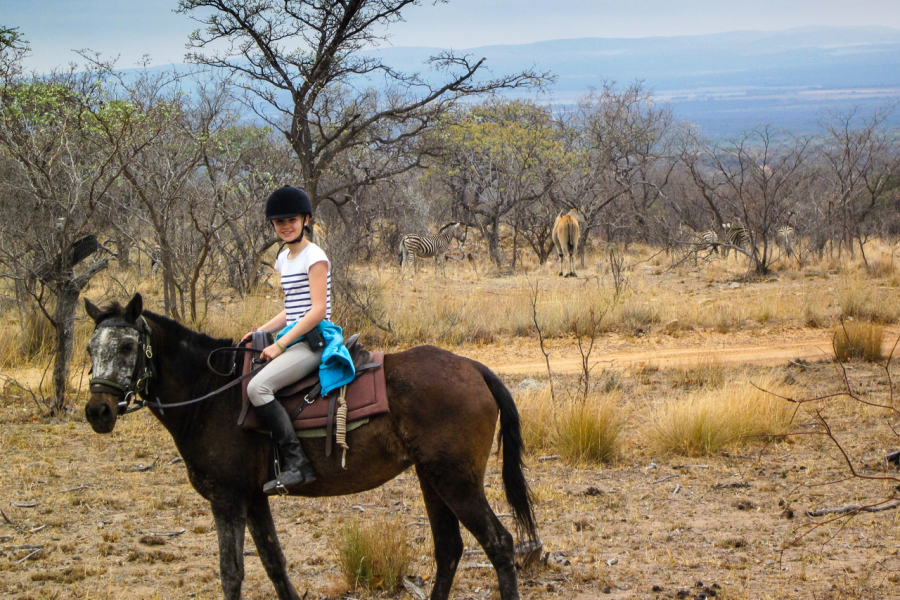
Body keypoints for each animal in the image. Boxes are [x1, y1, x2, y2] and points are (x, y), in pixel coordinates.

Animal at [82, 296, 536, 600]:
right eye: (90, 349)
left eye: (127, 347)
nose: (97, 411)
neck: (210, 392)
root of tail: (473, 368)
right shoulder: (253, 498)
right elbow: (274, 563)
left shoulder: (227, 499)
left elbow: (232, 572)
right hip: (433, 480)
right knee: (449, 550)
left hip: (457, 482)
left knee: (499, 544)